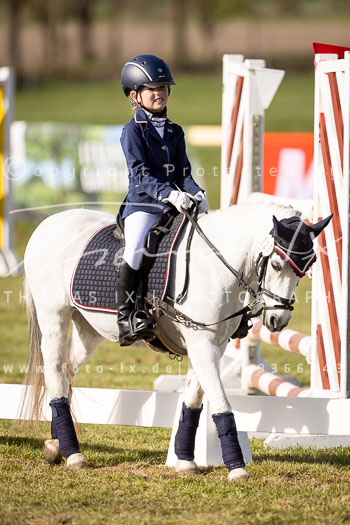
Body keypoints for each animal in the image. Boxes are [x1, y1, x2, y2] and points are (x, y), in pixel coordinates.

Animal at [22, 203, 330, 482]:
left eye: (308, 267)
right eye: (276, 264)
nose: (278, 319)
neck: (215, 266)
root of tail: (46, 224)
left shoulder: (212, 345)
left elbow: (193, 401)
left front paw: (185, 462)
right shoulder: (202, 344)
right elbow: (221, 403)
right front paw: (237, 468)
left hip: (89, 331)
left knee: (65, 373)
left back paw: (55, 445)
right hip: (54, 319)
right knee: (54, 373)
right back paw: (74, 455)